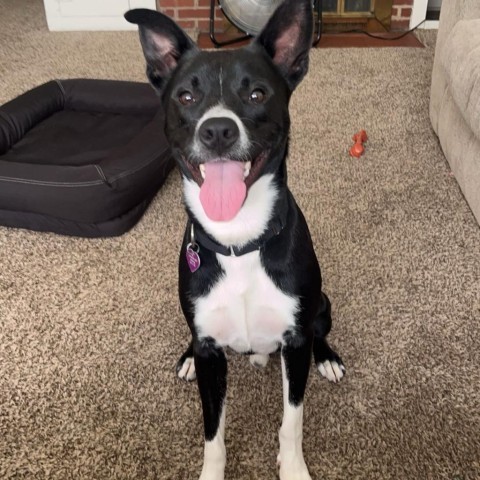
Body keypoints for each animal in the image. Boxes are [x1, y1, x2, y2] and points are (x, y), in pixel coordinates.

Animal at [127, 1, 344, 478]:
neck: (238, 240)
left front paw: (293, 468)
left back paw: (328, 358)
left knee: (320, 330)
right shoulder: (212, 352)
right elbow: (213, 433)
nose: (218, 131)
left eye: (257, 95)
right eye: (186, 97)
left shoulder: (295, 344)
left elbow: (292, 423)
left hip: (322, 306)